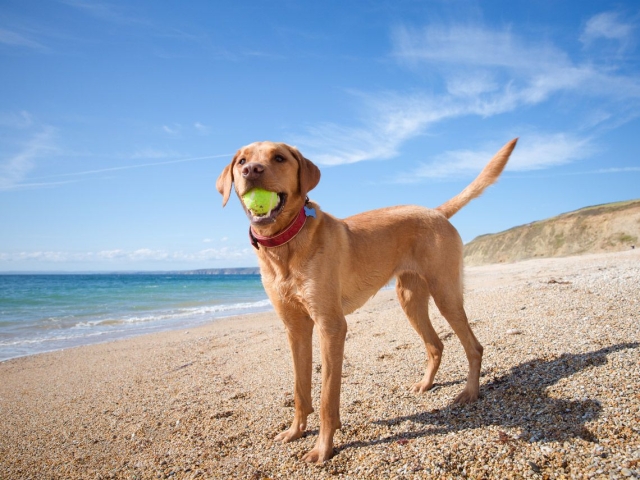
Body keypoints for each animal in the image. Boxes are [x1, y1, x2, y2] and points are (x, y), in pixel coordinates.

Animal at [218, 138, 516, 462]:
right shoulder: (295, 328)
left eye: (279, 158)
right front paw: (296, 431)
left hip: (445, 293)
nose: (251, 170)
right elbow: (300, 390)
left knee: (474, 347)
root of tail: (435, 211)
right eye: (242, 160)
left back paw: (470, 393)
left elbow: (327, 398)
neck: (285, 244)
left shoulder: (331, 326)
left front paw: (323, 448)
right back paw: (426, 384)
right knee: (435, 345)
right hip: (410, 299)